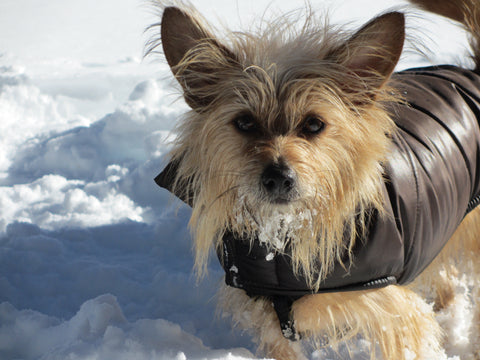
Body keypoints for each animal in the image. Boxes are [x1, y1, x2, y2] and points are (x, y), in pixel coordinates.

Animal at [152, 0, 480, 358]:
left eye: (313, 124)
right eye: (245, 122)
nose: (278, 178)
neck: (282, 246)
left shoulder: (396, 313)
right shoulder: (269, 319)